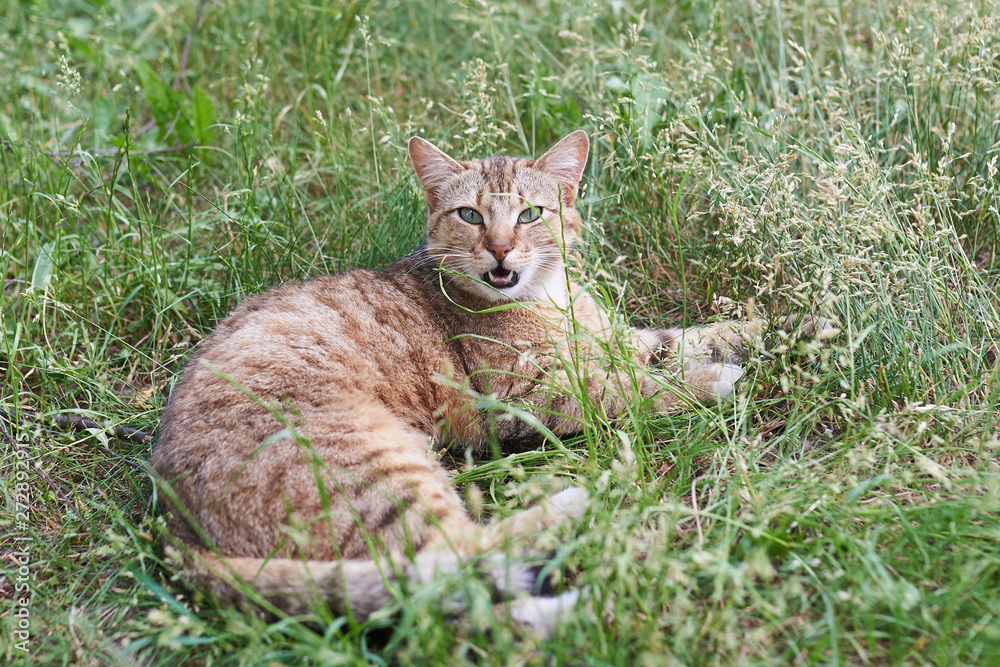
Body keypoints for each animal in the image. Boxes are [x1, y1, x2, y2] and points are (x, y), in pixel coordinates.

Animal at [150, 132, 756, 636]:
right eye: (469, 215)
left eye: (531, 214)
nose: (501, 249)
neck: (547, 298)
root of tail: (175, 530)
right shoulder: (521, 399)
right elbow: (631, 389)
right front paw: (713, 380)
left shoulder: (615, 340)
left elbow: (676, 341)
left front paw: (766, 329)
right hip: (377, 470)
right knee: (450, 567)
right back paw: (580, 523)